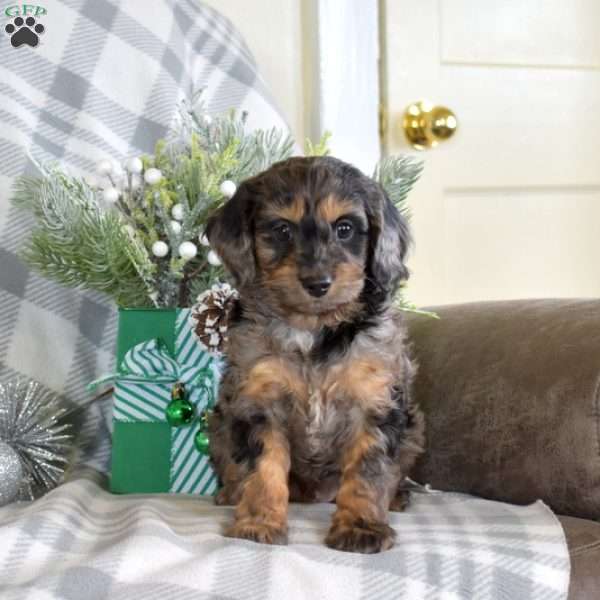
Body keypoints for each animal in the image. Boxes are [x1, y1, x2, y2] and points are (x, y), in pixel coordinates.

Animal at [204, 154, 424, 552]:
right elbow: (263, 468)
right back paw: (230, 493)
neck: (312, 330)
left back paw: (398, 495)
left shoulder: (374, 401)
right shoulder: (258, 402)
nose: (317, 283)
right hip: (219, 423)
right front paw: (258, 522)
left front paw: (361, 527)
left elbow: (368, 471)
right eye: (282, 230)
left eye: (345, 229)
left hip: (414, 427)